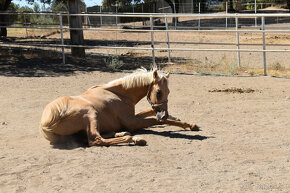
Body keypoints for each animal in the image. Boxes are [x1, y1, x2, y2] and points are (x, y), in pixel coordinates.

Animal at [40, 68, 199, 146]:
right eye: (159, 92)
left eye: (169, 91)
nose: (163, 113)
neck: (118, 94)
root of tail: (46, 123)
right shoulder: (131, 122)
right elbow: (155, 120)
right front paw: (189, 125)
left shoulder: (133, 116)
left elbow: (149, 112)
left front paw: (177, 118)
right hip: (91, 114)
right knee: (95, 140)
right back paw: (134, 139)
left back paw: (121, 133)